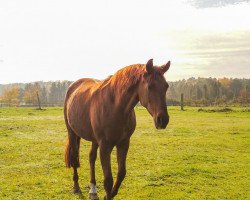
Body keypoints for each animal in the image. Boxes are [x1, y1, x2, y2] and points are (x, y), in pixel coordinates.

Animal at [63, 58, 171, 199]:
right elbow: (108, 180)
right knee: (75, 158)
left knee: (91, 158)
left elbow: (121, 173)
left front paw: (110, 194)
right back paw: (76, 187)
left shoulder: (123, 143)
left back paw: (93, 189)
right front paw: (107, 195)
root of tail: (73, 87)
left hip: (94, 139)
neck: (115, 105)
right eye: (150, 86)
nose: (163, 120)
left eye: (166, 86)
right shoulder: (105, 146)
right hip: (72, 132)